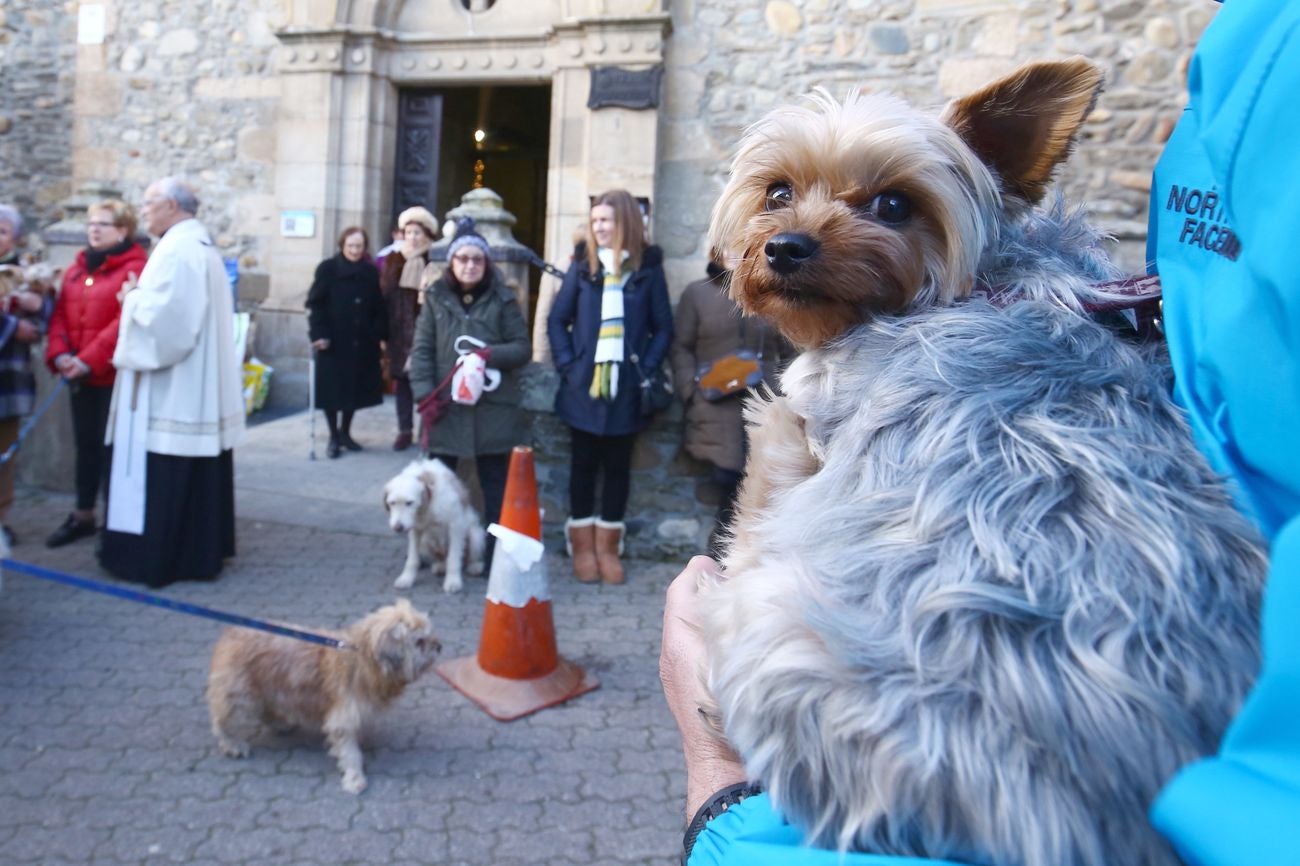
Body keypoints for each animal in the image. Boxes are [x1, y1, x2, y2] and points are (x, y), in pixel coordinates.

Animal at [208, 600, 439, 790]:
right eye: (419, 642)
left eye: (429, 634)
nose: (439, 646)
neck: (363, 658)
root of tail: (232, 631)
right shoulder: (343, 719)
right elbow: (349, 751)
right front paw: (354, 777)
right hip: (240, 698)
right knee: (223, 721)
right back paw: (233, 745)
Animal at [387, 455, 488, 590]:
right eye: (392, 503)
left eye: (409, 503)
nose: (398, 527)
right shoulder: (415, 531)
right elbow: (412, 559)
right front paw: (406, 579)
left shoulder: (455, 526)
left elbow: (453, 558)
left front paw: (453, 582)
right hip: (425, 543)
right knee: (442, 559)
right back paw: (440, 567)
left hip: (475, 535)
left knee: (467, 558)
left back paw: (475, 567)